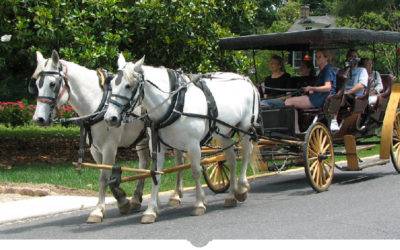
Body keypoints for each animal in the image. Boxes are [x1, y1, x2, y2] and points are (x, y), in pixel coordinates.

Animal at [30, 50, 184, 223]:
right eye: (37, 84)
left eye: (52, 84)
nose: (39, 119)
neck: (97, 101)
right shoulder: (95, 149)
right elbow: (105, 174)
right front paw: (123, 201)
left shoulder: (109, 146)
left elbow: (104, 177)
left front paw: (98, 210)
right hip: (144, 138)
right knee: (144, 162)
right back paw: (137, 198)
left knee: (179, 161)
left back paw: (176, 195)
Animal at [104, 54, 260, 223]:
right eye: (111, 85)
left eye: (128, 85)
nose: (110, 118)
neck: (174, 104)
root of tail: (246, 79)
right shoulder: (157, 145)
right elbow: (156, 174)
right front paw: (151, 211)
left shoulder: (193, 145)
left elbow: (196, 171)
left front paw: (199, 204)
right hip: (224, 134)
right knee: (231, 161)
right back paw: (231, 196)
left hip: (245, 129)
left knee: (246, 154)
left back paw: (242, 189)